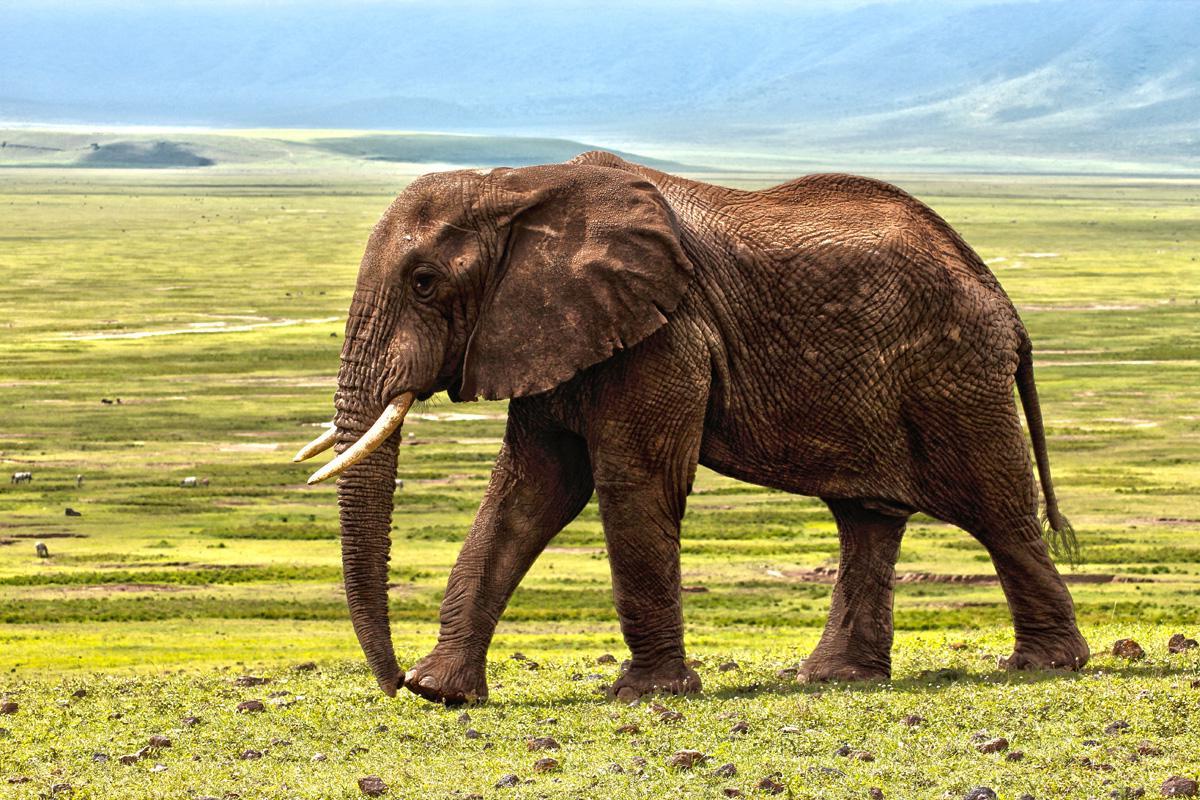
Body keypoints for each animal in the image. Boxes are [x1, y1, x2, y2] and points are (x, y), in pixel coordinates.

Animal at [294, 150, 1089, 705]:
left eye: (424, 282)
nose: (392, 683)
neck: (519, 184)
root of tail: (1003, 300)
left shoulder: (665, 333)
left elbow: (632, 483)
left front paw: (644, 696)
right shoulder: (552, 331)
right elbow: (528, 493)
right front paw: (442, 694)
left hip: (955, 373)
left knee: (996, 508)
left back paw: (1046, 666)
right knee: (867, 517)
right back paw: (836, 679)